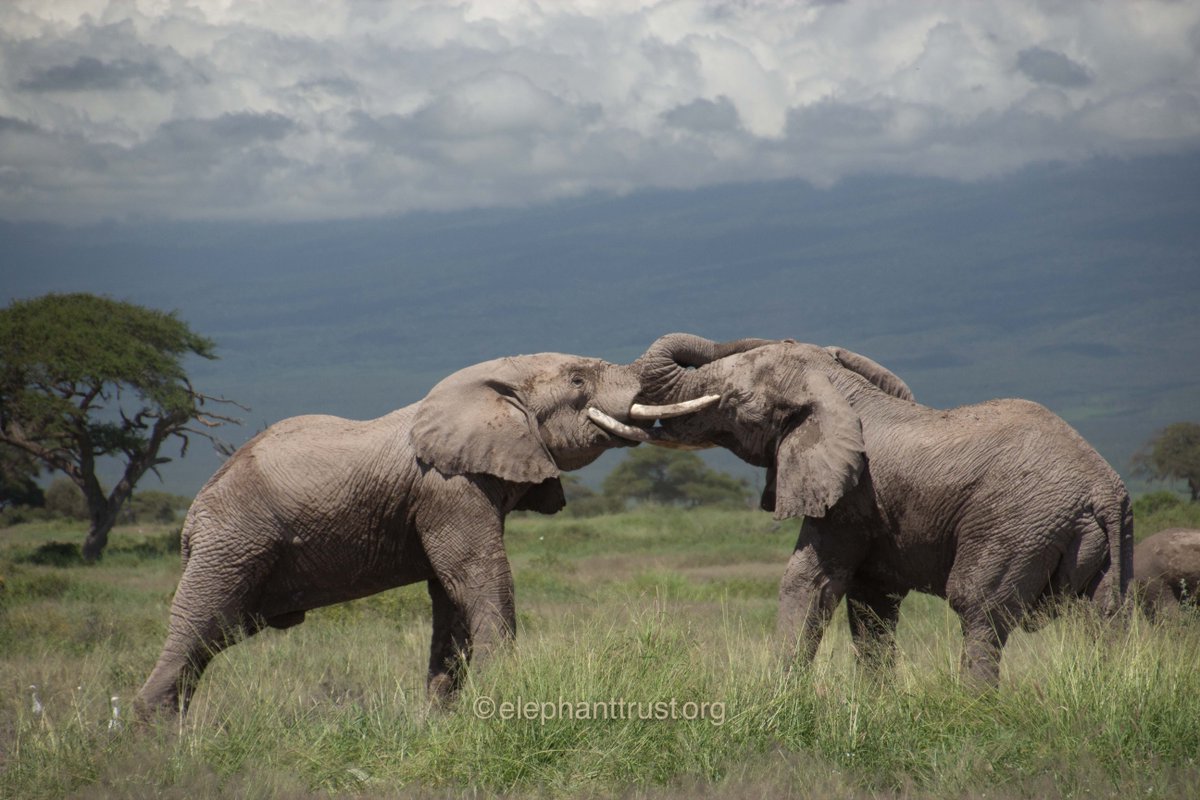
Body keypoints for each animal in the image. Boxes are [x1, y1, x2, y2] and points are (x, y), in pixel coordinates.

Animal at [133, 352, 712, 720]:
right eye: (576, 381)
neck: (488, 385)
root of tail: (191, 519)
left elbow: (449, 596)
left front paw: (443, 721)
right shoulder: (447, 487)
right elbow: (477, 576)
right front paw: (505, 700)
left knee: (212, 638)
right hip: (233, 541)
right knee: (201, 624)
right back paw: (156, 745)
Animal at [635, 333, 1133, 685]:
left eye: (735, 401)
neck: (841, 391)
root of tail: (1102, 491)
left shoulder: (851, 498)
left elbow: (808, 581)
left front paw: (779, 700)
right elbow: (871, 602)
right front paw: (875, 704)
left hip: (1015, 525)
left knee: (979, 609)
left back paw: (973, 709)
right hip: (1113, 538)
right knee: (1103, 617)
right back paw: (1102, 692)